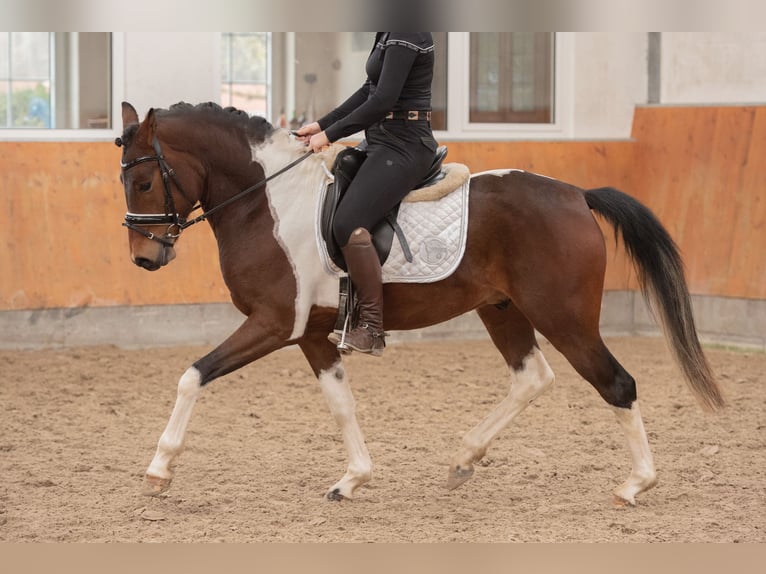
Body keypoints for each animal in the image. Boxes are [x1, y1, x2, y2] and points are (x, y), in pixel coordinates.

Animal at [115, 103, 728, 508]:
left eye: (143, 182)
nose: (144, 258)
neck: (268, 202)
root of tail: (576, 194)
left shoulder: (273, 323)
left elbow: (193, 376)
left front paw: (159, 469)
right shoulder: (311, 333)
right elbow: (342, 405)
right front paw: (354, 478)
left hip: (564, 317)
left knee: (617, 384)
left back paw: (635, 485)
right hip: (503, 309)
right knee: (531, 377)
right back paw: (463, 460)